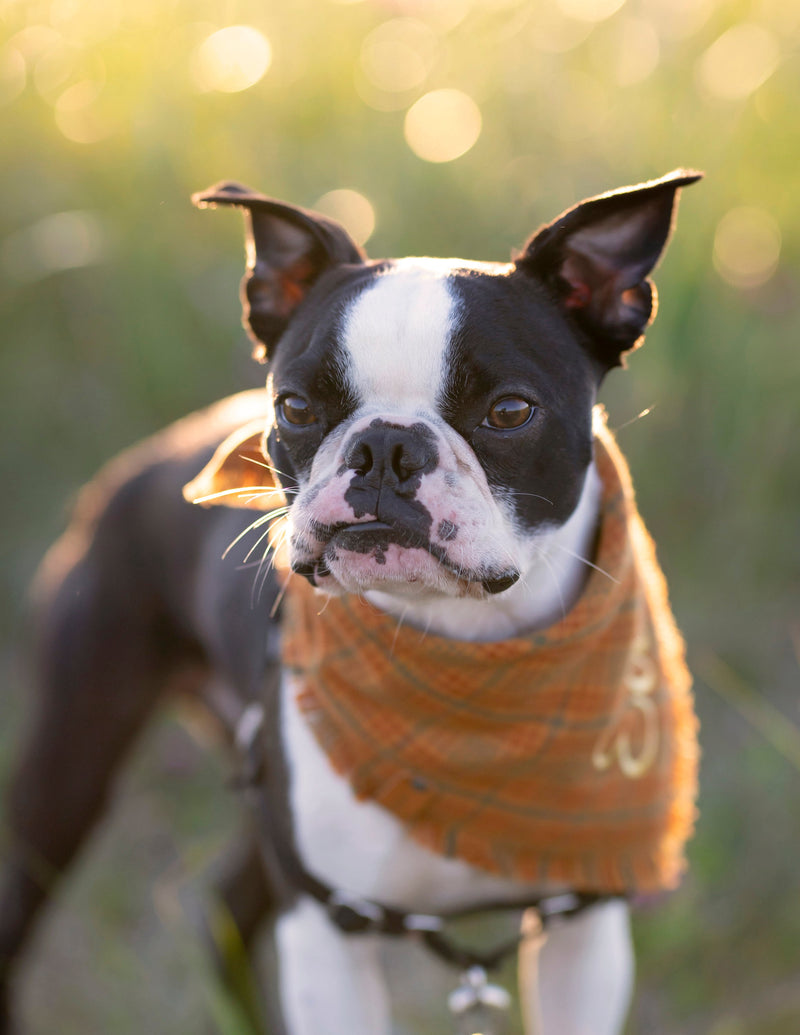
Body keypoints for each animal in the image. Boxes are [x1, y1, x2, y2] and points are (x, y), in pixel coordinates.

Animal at [0, 171, 699, 1035]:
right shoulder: (328, 927)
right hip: (72, 761)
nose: (385, 446)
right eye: (296, 407)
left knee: (228, 902)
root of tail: (140, 462)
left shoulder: (583, 930)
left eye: (509, 411)